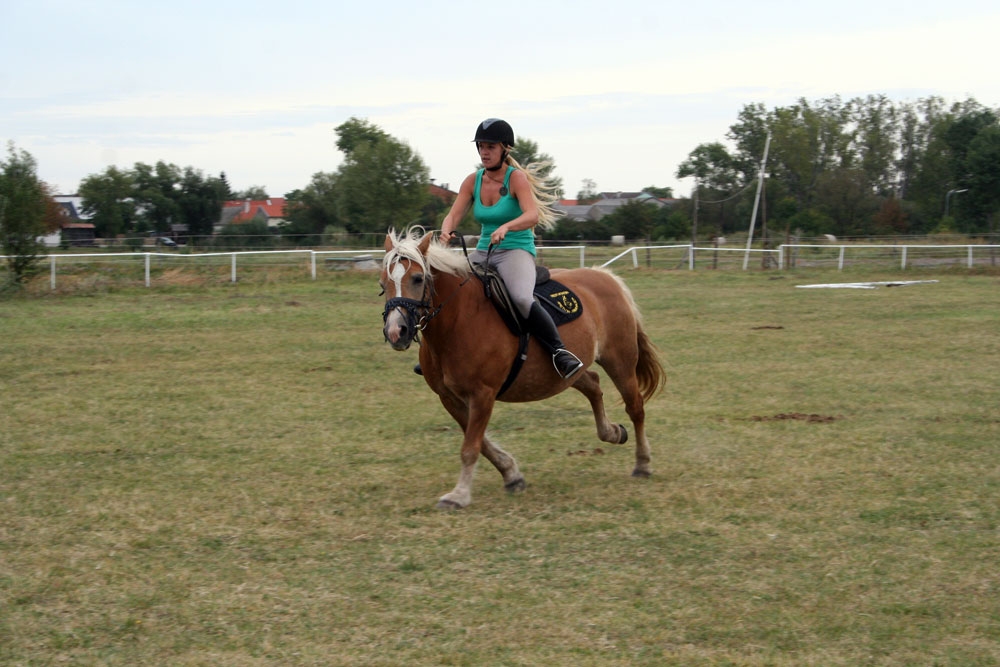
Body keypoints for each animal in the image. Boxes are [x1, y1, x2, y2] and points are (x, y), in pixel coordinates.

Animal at [380, 230, 664, 512]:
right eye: (383, 283)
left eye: (417, 278)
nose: (396, 332)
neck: (459, 320)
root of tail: (605, 276)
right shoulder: (449, 398)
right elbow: (482, 443)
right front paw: (511, 474)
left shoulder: (482, 394)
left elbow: (471, 447)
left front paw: (458, 495)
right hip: (567, 373)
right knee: (593, 384)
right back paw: (612, 432)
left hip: (620, 362)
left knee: (635, 408)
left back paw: (643, 463)